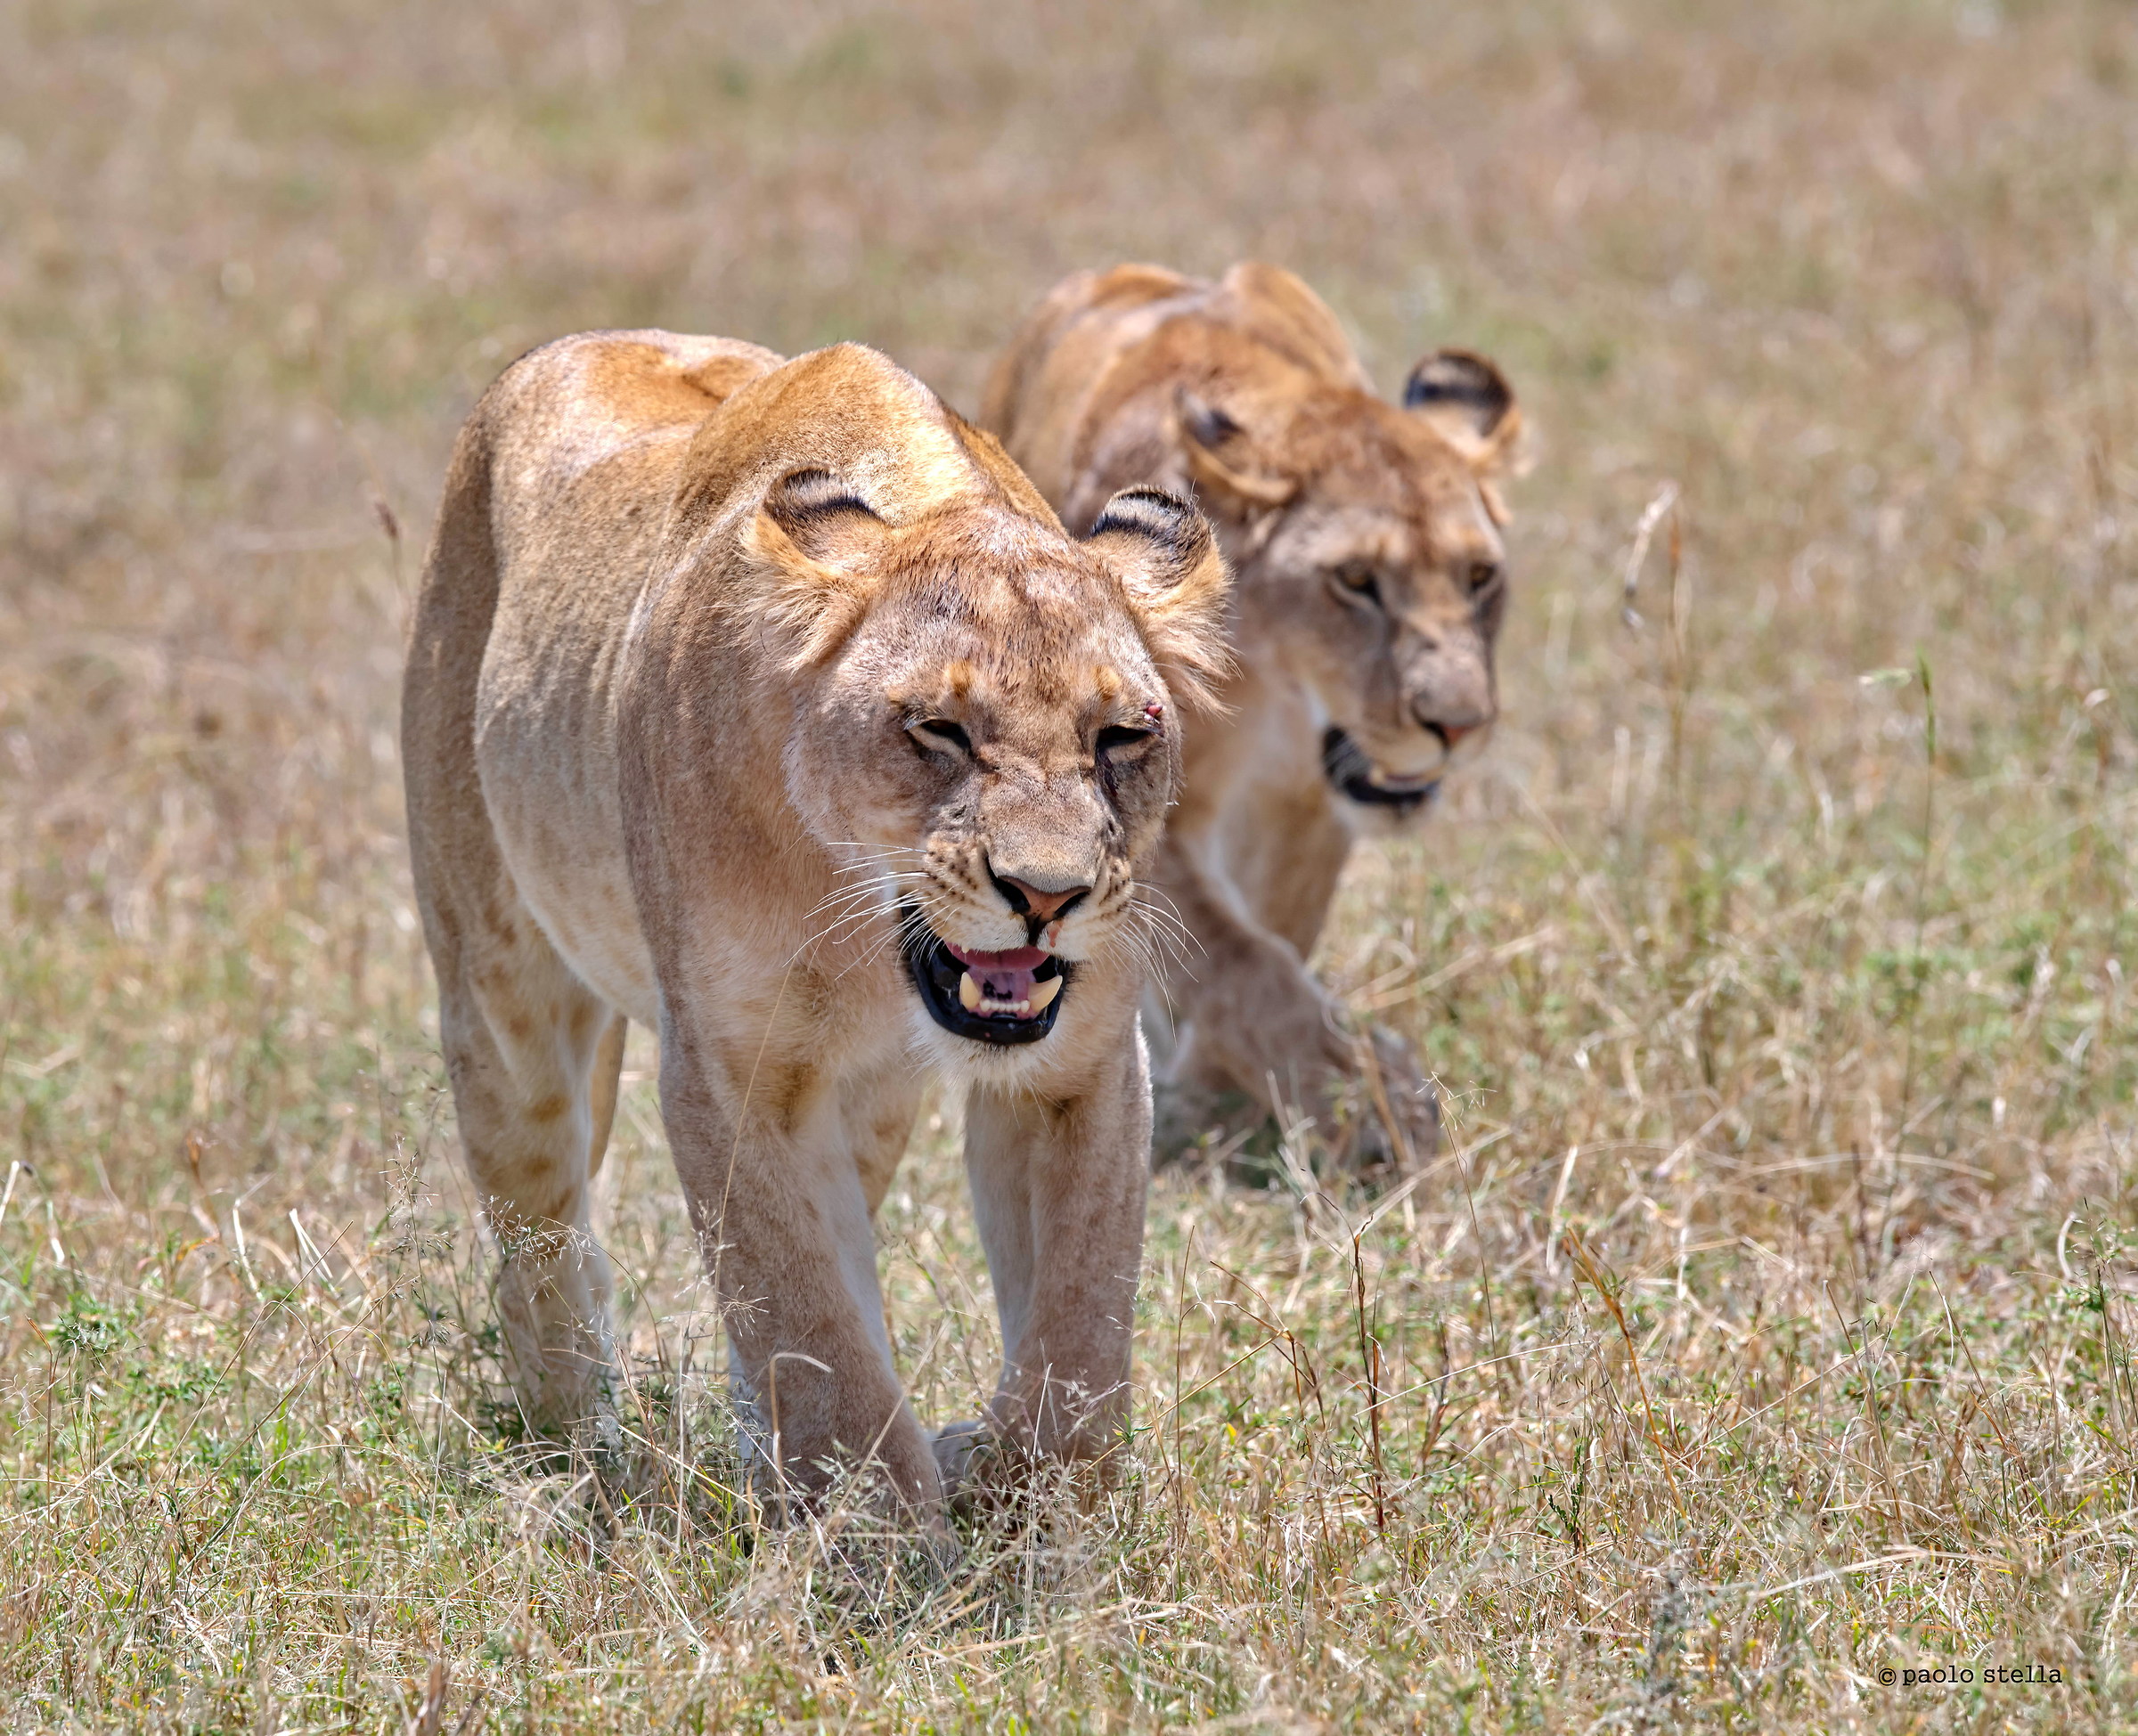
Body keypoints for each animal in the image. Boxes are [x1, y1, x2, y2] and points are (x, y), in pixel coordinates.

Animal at [401, 329, 1228, 1518]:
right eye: (938, 728)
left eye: (1122, 734)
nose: (1048, 893)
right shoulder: (731, 1068)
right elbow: (813, 1322)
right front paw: (882, 1537)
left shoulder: (1081, 1063)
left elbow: (1078, 1324)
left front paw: (1031, 1509)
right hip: (499, 987)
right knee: (539, 1225)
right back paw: (578, 1444)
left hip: (872, 1102)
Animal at [980, 262, 1523, 1166]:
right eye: (1355, 581)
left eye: (1480, 576)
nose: (1460, 724)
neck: (1262, 688)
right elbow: (1234, 959)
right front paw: (1362, 1102)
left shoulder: (1308, 804)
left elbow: (1269, 940)